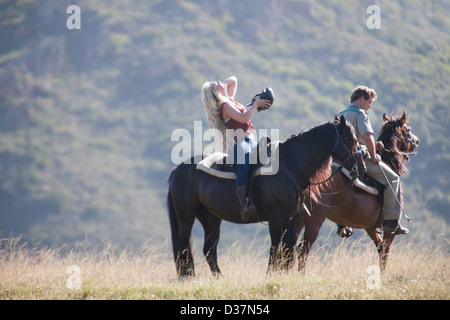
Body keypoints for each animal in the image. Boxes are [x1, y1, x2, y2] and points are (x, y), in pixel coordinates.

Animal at [286, 111, 420, 272]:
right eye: (407, 129)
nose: (417, 141)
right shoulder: (388, 229)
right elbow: (385, 252)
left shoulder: (371, 228)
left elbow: (380, 248)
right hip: (314, 220)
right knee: (303, 250)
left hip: (298, 218)